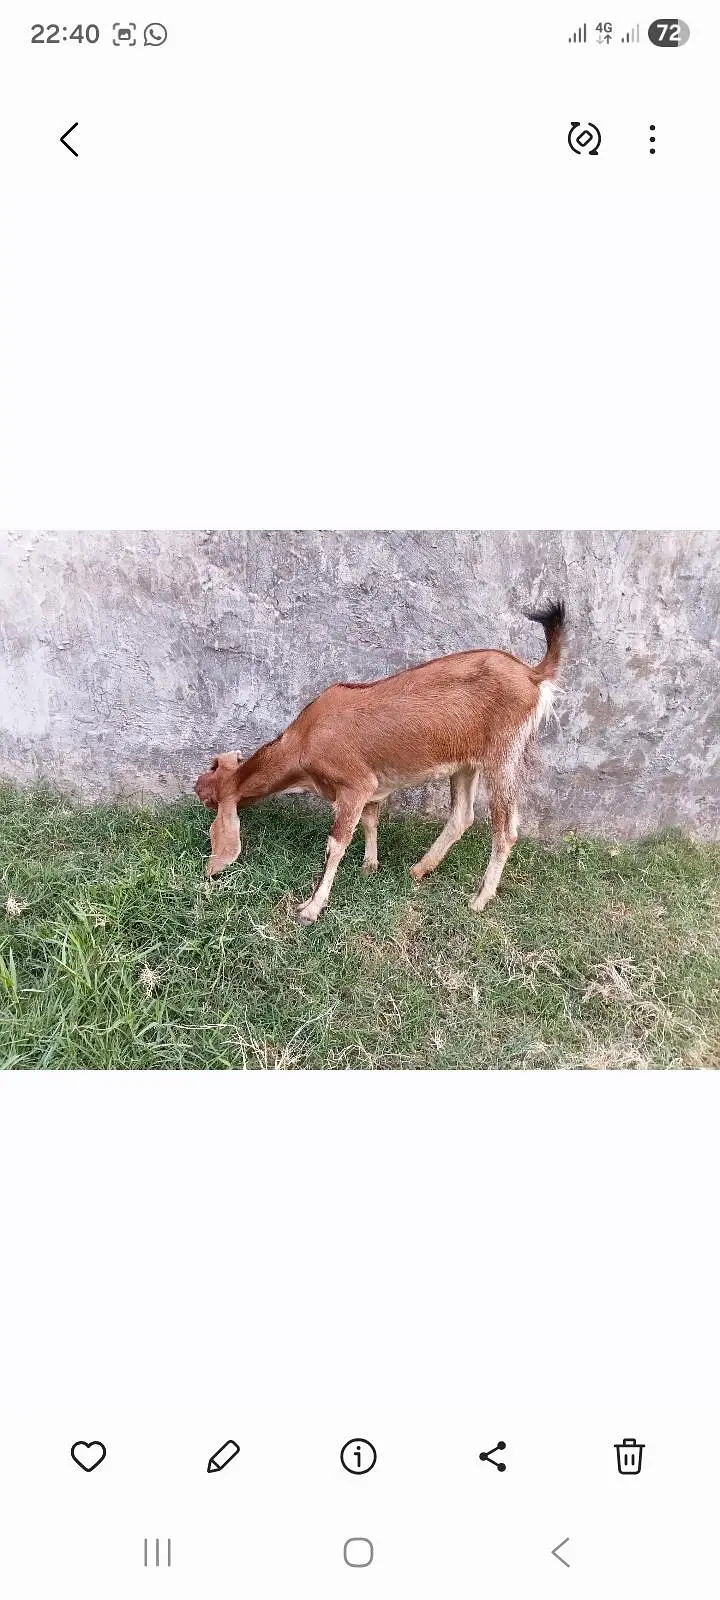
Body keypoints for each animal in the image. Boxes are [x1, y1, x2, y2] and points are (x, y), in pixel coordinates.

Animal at [194, 600, 566, 924]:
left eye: (211, 797)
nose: (196, 786)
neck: (303, 741)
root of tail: (533, 675)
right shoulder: (374, 787)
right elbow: (371, 821)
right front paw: (370, 866)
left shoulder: (354, 785)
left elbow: (336, 844)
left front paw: (311, 907)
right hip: (466, 764)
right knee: (462, 816)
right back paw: (420, 869)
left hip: (503, 756)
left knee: (505, 830)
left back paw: (479, 899)